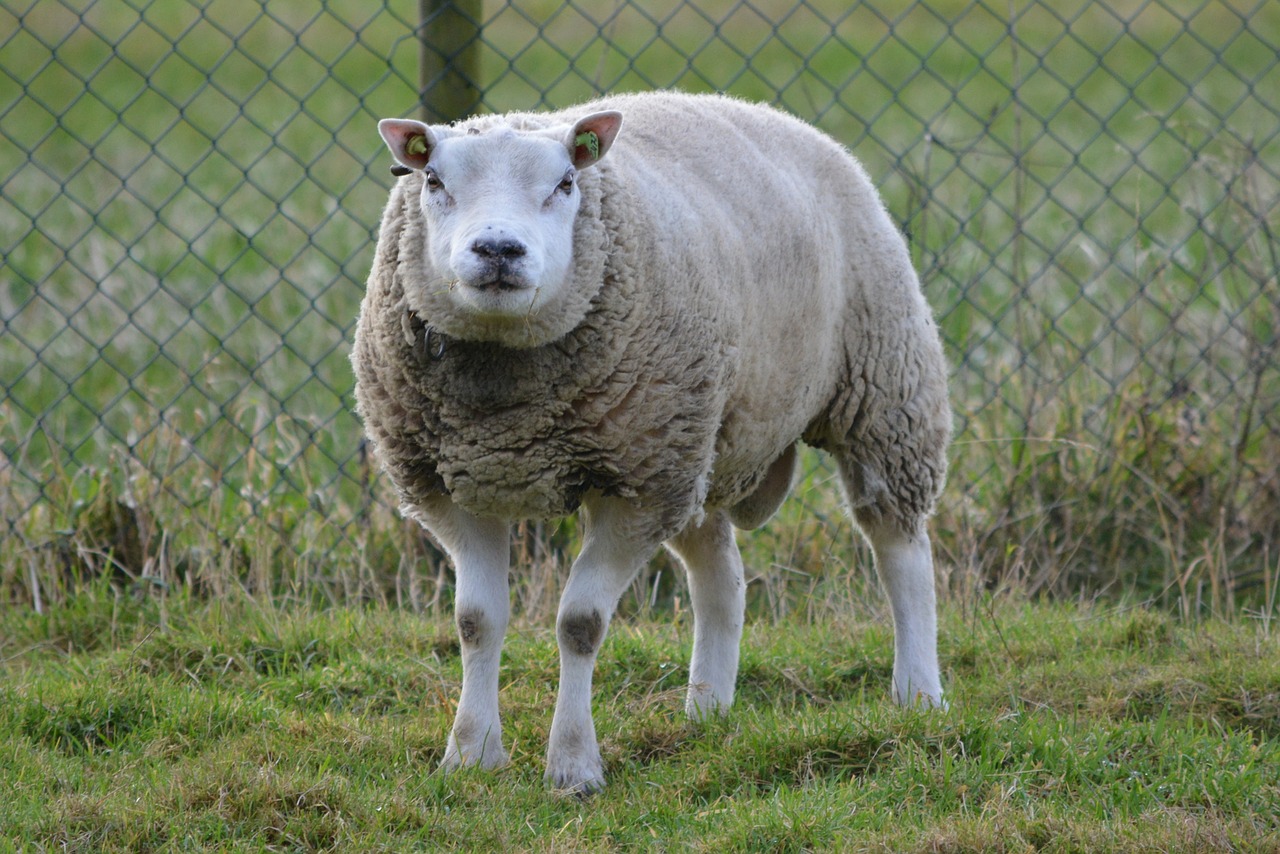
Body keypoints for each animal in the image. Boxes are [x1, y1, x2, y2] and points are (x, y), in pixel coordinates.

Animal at [350, 92, 952, 793]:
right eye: (434, 182)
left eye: (566, 183)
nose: (498, 248)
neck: (506, 409)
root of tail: (769, 111)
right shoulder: (454, 484)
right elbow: (476, 621)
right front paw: (470, 754)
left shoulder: (635, 486)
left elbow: (580, 623)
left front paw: (573, 766)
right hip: (697, 441)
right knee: (720, 574)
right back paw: (708, 708)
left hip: (883, 392)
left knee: (900, 549)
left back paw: (918, 695)